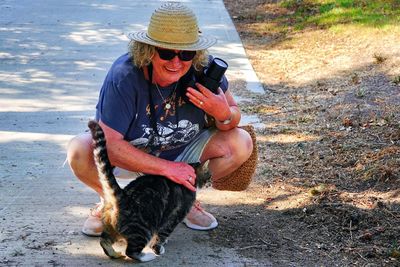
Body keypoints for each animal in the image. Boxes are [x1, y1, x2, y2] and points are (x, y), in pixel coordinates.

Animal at [88, 120, 205, 262]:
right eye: (209, 174)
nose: (212, 181)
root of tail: (123, 196)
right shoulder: (173, 217)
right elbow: (161, 235)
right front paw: (158, 248)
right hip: (143, 229)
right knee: (131, 251)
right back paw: (146, 256)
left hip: (111, 227)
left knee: (104, 241)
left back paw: (115, 253)